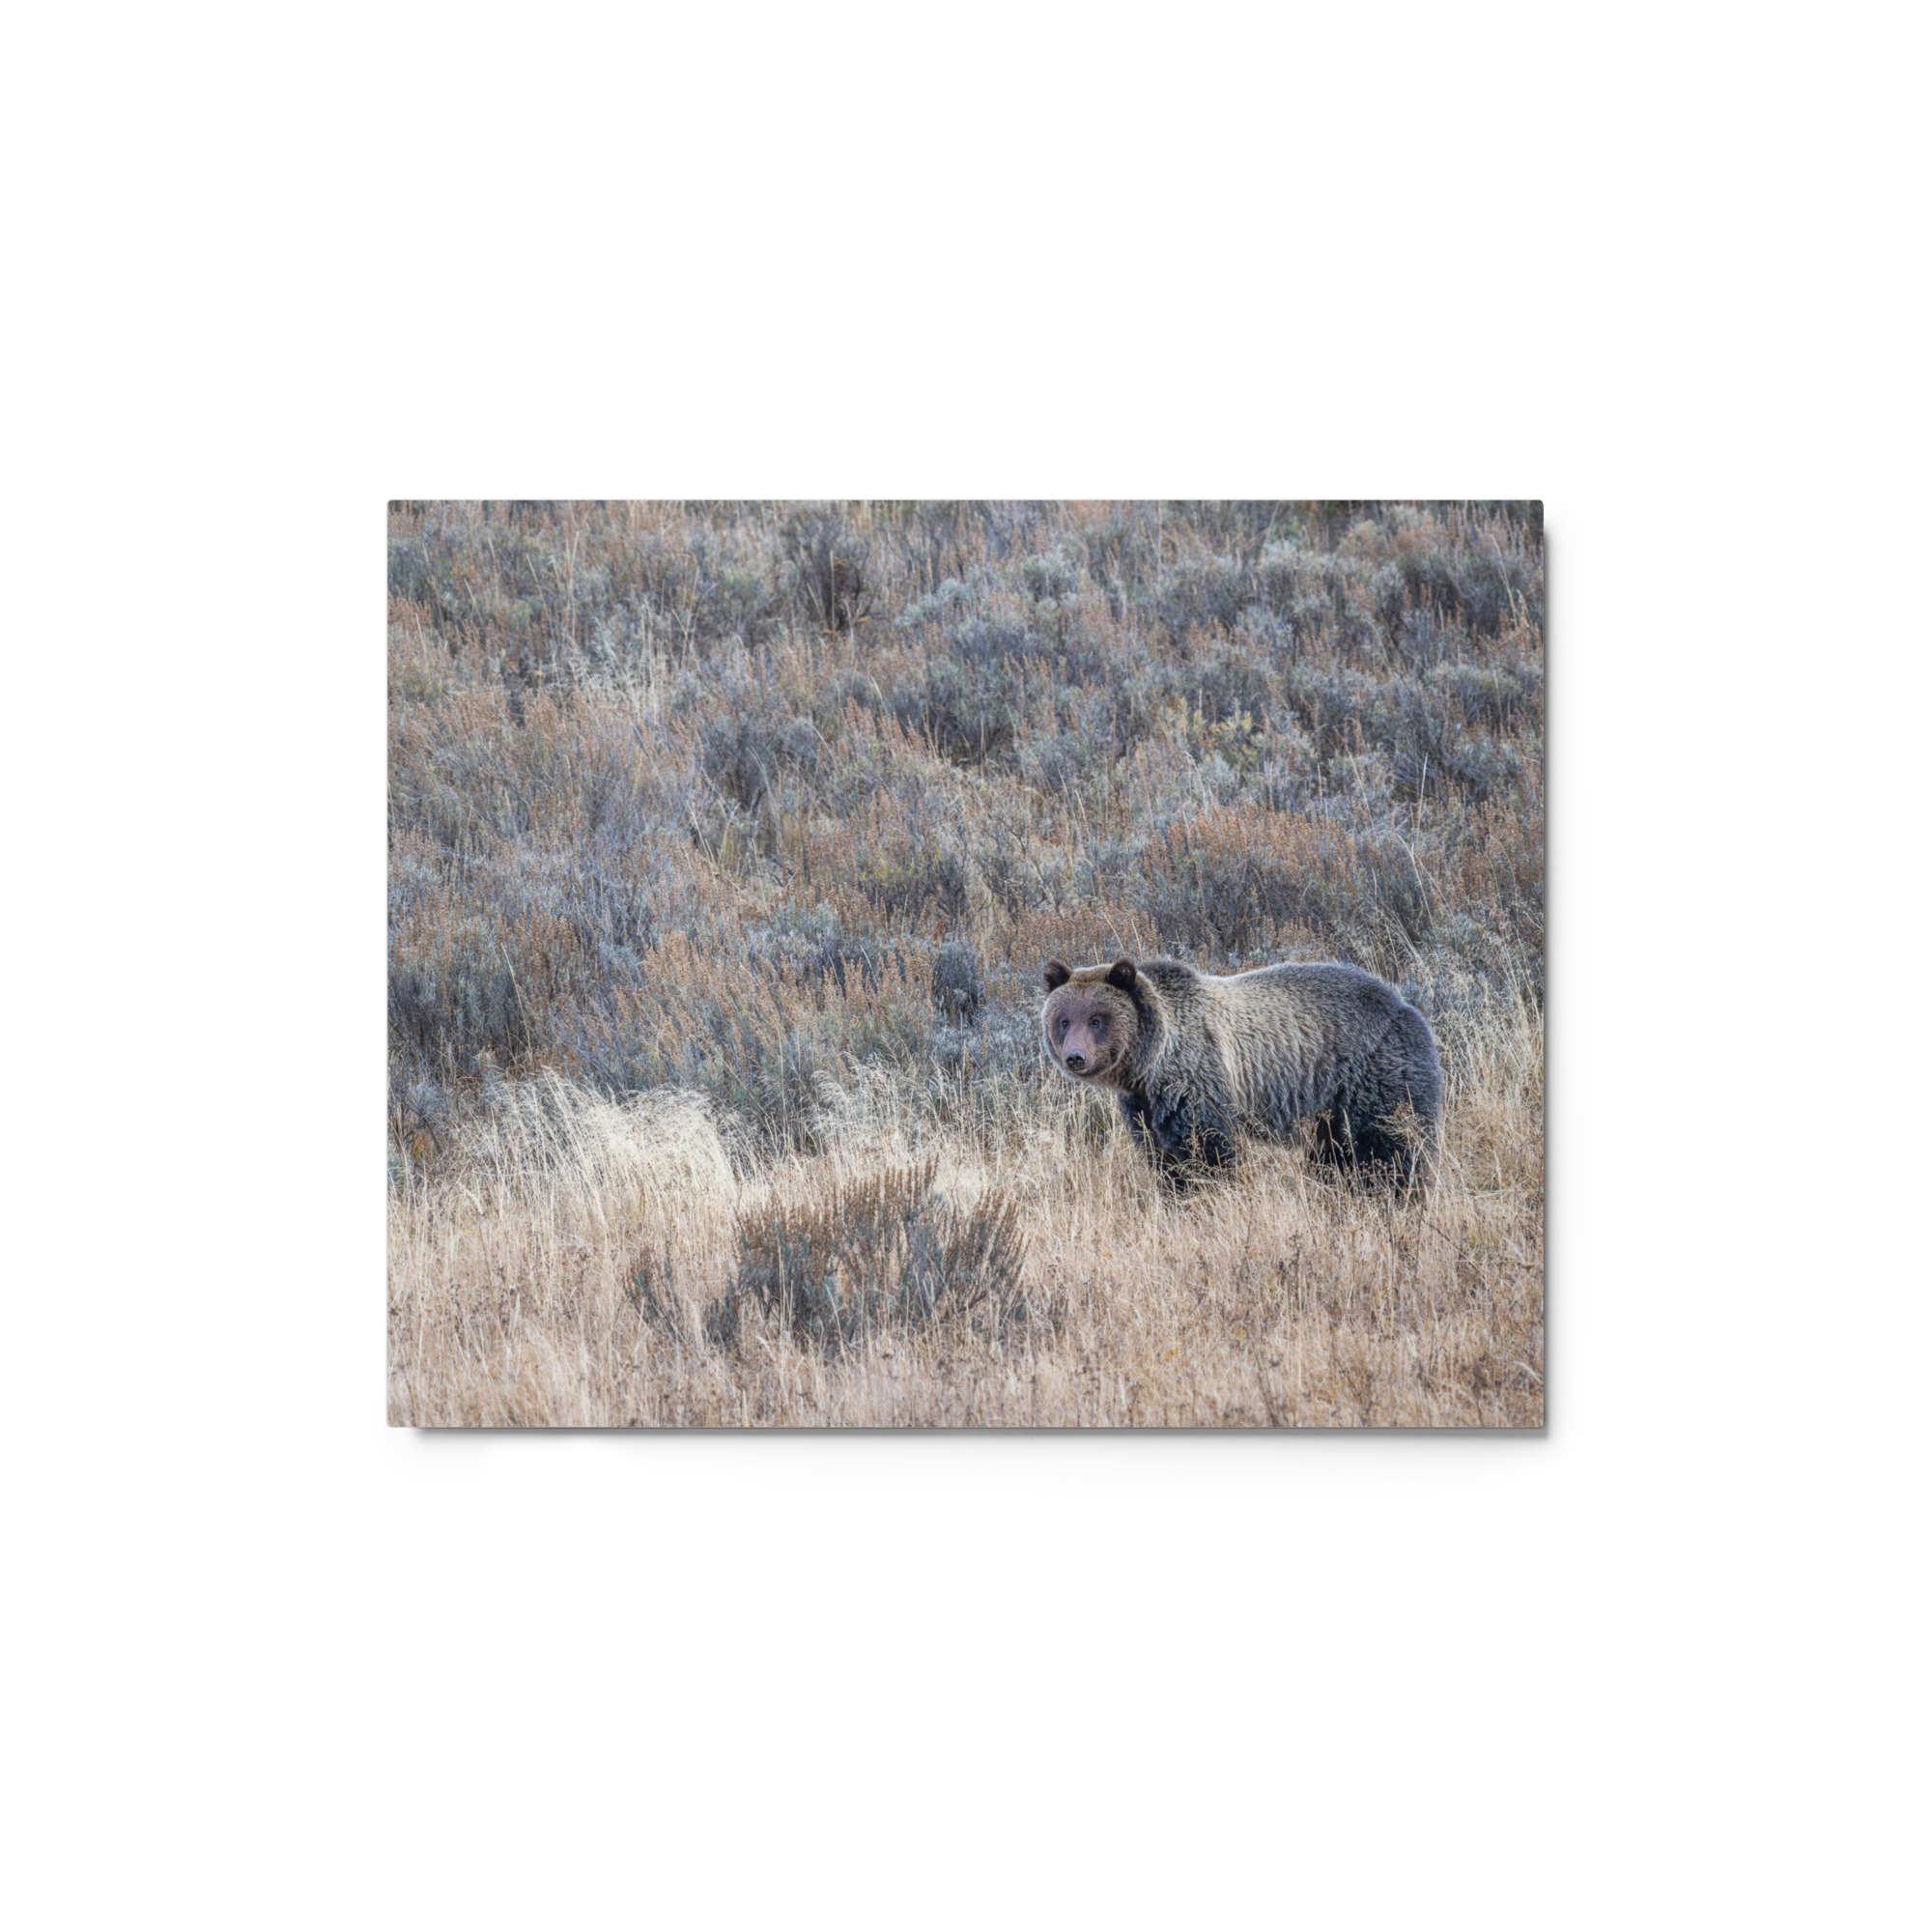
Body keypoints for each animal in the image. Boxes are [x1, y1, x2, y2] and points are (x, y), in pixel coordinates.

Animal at [1040, 955, 1440, 1188]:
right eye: (1064, 1020)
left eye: (1096, 1019)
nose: (1075, 1057)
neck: (1149, 1065)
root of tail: (1406, 1005)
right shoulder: (1143, 1106)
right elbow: (1161, 1156)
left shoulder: (1197, 1078)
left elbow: (1209, 1150)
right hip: (1329, 1109)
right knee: (1334, 1155)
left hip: (1373, 1074)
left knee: (1389, 1144)